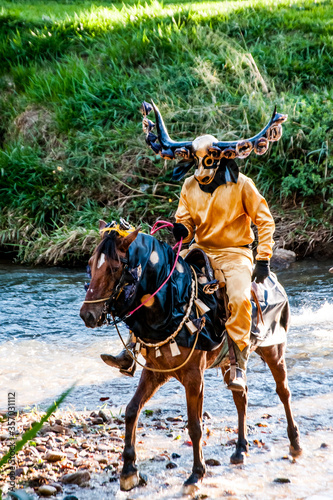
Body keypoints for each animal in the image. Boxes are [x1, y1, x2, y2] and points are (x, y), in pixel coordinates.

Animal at [80, 226, 300, 492]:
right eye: (90, 265)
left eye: (114, 268)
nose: (87, 315)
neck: (172, 303)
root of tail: (274, 281)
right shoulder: (155, 371)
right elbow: (132, 410)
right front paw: (129, 470)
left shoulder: (194, 377)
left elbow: (195, 426)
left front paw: (196, 474)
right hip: (228, 363)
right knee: (241, 395)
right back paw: (240, 449)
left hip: (273, 349)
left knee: (283, 392)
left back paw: (295, 442)